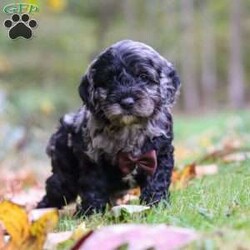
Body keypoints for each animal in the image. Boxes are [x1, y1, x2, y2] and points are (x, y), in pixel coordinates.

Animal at [37, 39, 181, 215]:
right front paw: (91, 213)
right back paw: (40, 212)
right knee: (55, 190)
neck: (129, 128)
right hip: (65, 175)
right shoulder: (93, 159)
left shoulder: (158, 156)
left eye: (143, 76)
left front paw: (156, 205)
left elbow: (156, 182)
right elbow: (94, 187)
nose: (127, 102)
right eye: (110, 79)